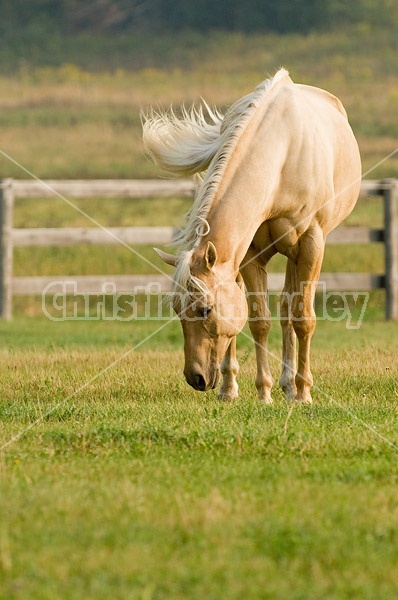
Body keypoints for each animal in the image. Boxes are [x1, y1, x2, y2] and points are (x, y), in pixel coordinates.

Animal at [143, 70, 360, 406]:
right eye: (177, 310)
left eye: (205, 309)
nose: (195, 378)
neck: (283, 155)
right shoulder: (249, 253)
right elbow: (259, 321)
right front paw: (263, 391)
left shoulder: (311, 244)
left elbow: (303, 318)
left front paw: (303, 393)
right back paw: (233, 386)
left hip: (296, 254)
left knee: (289, 309)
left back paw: (291, 386)